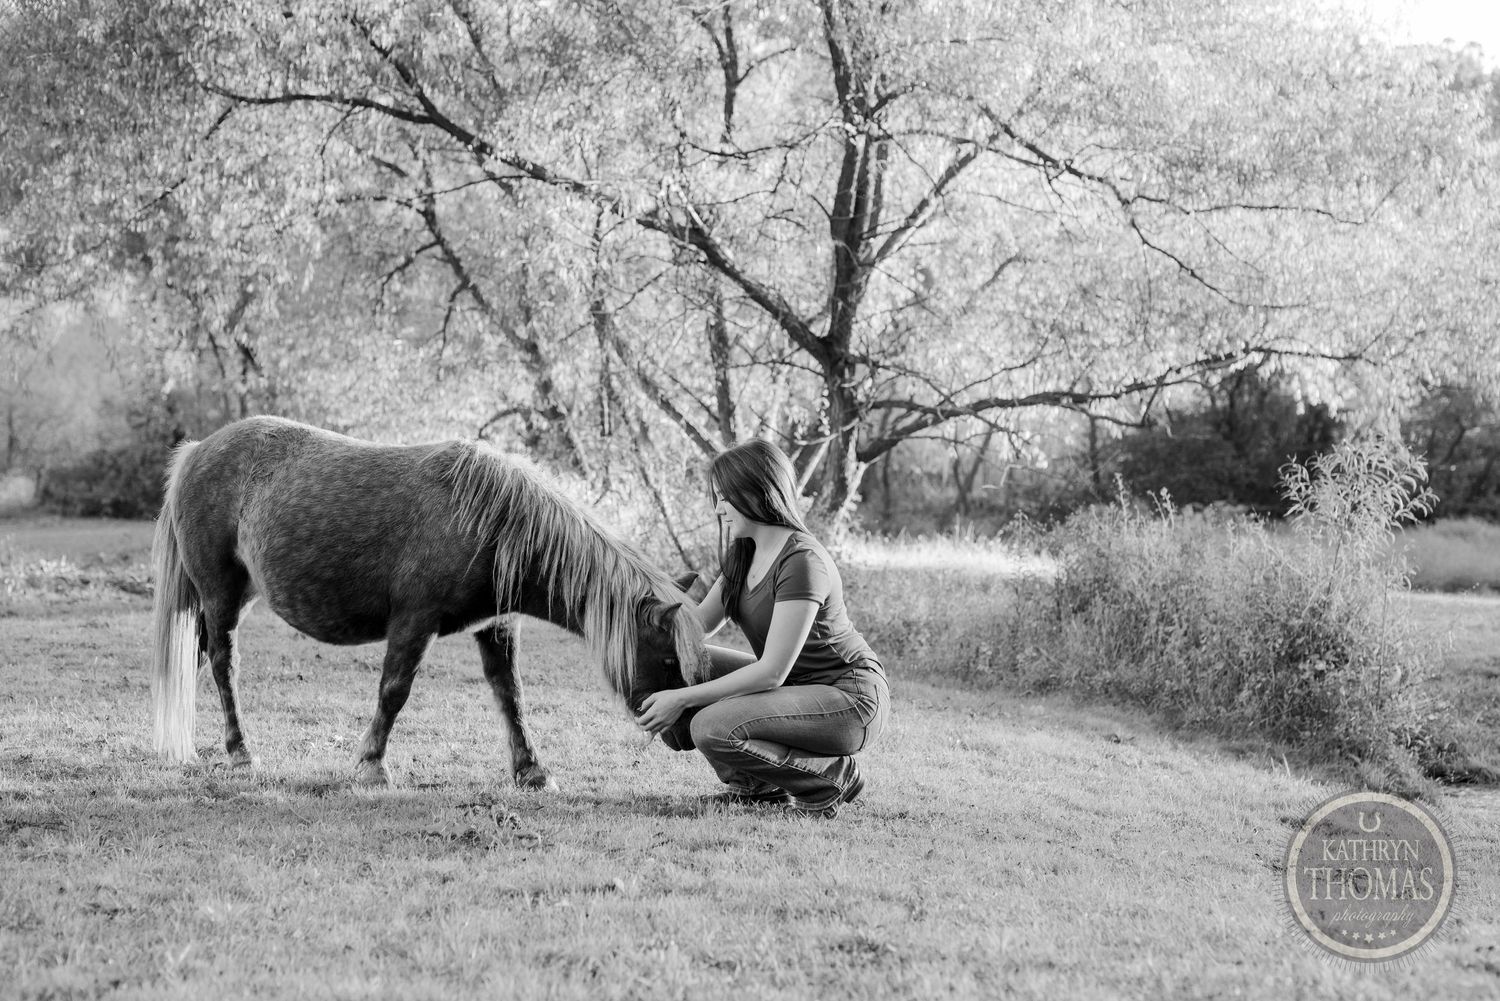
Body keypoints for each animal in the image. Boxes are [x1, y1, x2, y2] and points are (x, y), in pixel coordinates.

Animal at [150, 415, 710, 788]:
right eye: (667, 660)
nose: (685, 734)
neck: (489, 519)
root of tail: (197, 450)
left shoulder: (498, 626)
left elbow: (511, 697)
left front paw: (532, 771)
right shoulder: (414, 622)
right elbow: (394, 692)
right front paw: (371, 765)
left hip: (234, 597)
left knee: (200, 660)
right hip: (221, 595)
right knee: (224, 666)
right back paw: (241, 753)